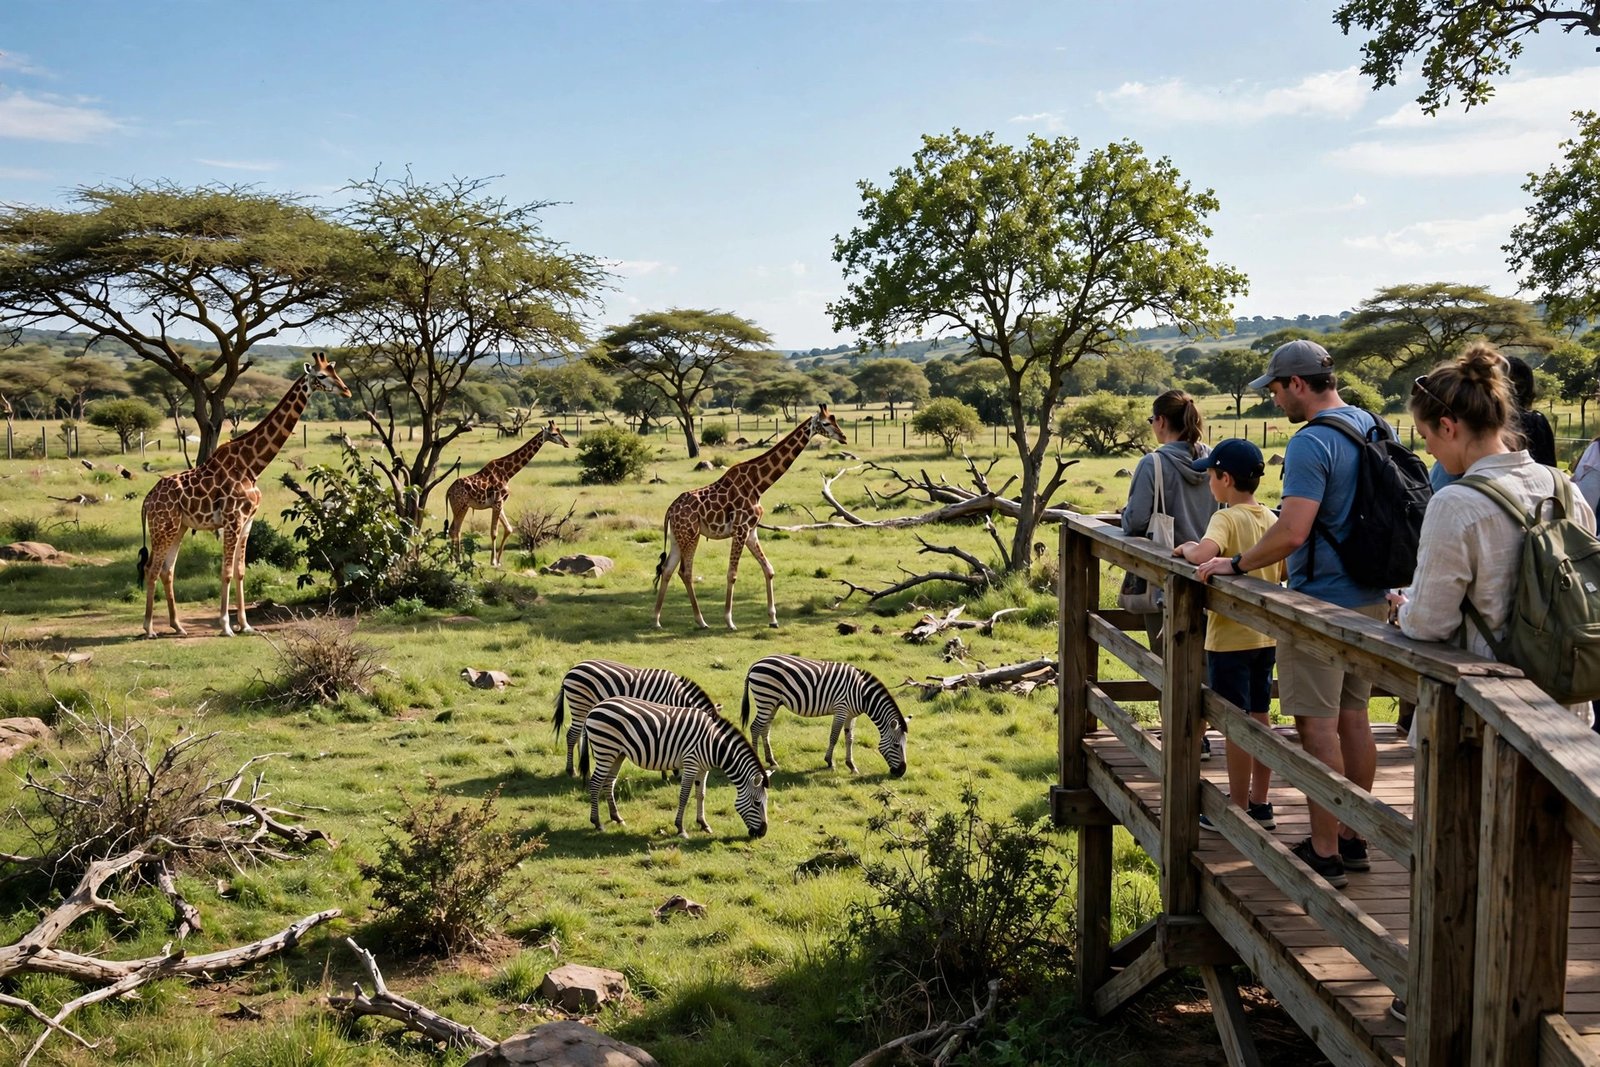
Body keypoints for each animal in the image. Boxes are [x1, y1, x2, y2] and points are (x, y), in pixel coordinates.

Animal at [137, 353, 351, 639]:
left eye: (335, 372)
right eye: (321, 376)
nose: (347, 390)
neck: (252, 465)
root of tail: (147, 500)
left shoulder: (247, 521)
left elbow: (240, 571)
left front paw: (245, 624)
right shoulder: (233, 519)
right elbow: (226, 571)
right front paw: (226, 626)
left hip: (178, 527)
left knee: (166, 570)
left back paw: (178, 626)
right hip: (163, 527)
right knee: (151, 568)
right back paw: (149, 628)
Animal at [444, 420, 571, 567]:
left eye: (559, 430)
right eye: (554, 433)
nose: (567, 443)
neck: (507, 473)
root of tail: (448, 491)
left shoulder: (499, 503)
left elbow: (509, 529)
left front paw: (498, 561)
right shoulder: (497, 503)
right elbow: (494, 532)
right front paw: (493, 561)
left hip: (459, 507)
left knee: (453, 530)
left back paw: (452, 560)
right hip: (460, 506)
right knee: (456, 530)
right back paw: (456, 560)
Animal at [653, 404, 847, 630]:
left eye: (835, 420)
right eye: (825, 423)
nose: (843, 437)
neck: (758, 485)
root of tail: (670, 510)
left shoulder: (751, 531)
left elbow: (769, 569)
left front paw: (773, 619)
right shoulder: (740, 529)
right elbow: (732, 574)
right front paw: (729, 621)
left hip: (678, 537)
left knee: (667, 569)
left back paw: (657, 620)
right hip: (691, 535)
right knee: (685, 572)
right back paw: (701, 621)